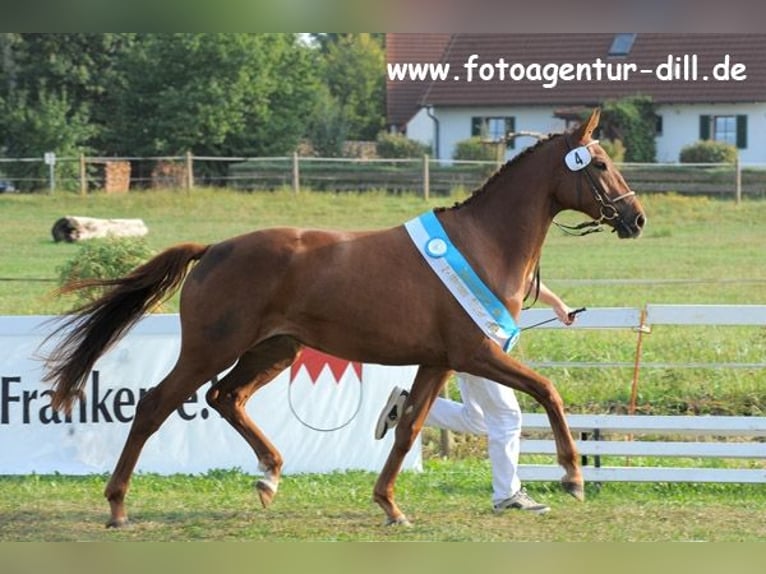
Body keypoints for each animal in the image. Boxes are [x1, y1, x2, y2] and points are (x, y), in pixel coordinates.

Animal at [43, 108, 648, 528]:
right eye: (600, 164)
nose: (637, 218)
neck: (483, 244)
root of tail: (214, 249)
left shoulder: (438, 361)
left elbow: (408, 429)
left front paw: (390, 505)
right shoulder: (476, 353)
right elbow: (548, 391)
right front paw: (572, 475)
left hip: (273, 349)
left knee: (226, 398)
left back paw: (269, 476)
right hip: (209, 350)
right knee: (155, 406)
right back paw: (118, 507)